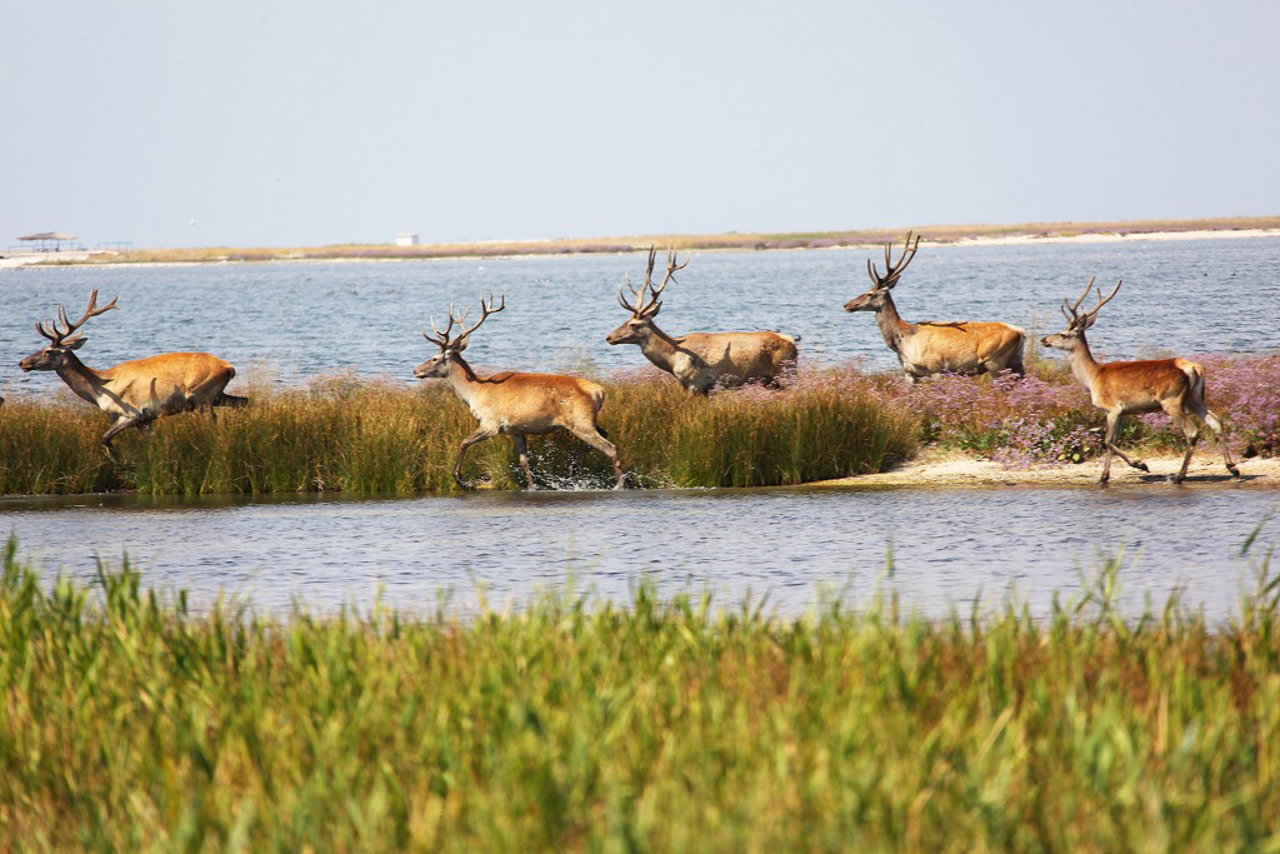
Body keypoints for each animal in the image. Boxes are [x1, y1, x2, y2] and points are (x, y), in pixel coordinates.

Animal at [20, 290, 248, 458]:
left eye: (48, 351)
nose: (23, 362)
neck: (99, 390)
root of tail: (229, 367)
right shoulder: (145, 421)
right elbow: (147, 444)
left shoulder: (132, 412)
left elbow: (104, 438)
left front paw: (123, 462)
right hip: (216, 395)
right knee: (243, 401)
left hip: (201, 396)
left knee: (215, 420)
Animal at [414, 294, 624, 491]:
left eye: (434, 358)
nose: (416, 370)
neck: (474, 393)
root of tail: (599, 391)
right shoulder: (516, 429)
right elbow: (524, 461)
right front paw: (532, 486)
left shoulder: (491, 423)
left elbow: (464, 442)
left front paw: (460, 479)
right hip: (586, 421)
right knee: (605, 433)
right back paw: (573, 467)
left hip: (580, 421)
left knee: (610, 447)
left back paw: (618, 483)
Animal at [604, 245, 793, 396]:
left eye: (633, 324)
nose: (609, 337)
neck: (672, 359)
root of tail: (793, 342)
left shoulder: (696, 384)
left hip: (785, 373)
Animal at [839, 231, 1029, 381]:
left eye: (870, 294)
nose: (847, 305)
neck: (903, 341)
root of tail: (1021, 332)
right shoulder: (909, 373)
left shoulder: (936, 368)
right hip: (1015, 362)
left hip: (995, 361)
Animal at [1039, 277, 1239, 483]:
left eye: (1063, 334)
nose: (1044, 339)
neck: (1092, 377)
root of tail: (1192, 368)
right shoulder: (1122, 412)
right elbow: (1112, 441)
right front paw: (1104, 476)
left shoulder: (1112, 408)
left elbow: (1107, 441)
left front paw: (1140, 464)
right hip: (1195, 397)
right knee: (1216, 421)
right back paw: (1232, 467)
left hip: (1172, 400)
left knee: (1191, 431)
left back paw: (1180, 475)